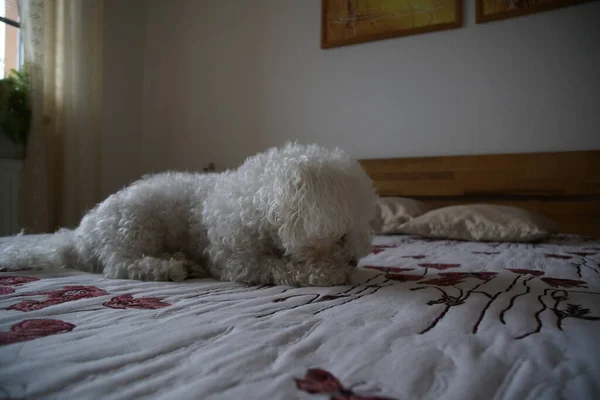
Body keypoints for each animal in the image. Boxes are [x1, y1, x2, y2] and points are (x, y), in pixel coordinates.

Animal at [0, 142, 378, 286]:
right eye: (340, 235)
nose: (353, 261)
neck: (259, 201)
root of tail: (79, 236)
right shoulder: (238, 261)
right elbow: (280, 268)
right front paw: (329, 273)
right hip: (134, 226)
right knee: (120, 265)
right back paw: (170, 267)